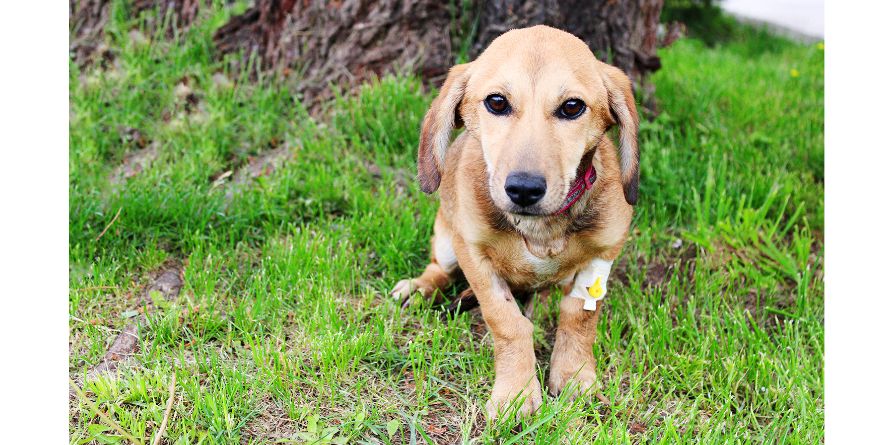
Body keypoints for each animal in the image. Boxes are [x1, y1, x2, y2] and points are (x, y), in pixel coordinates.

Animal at [390, 26, 640, 418]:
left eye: (572, 107)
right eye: (496, 102)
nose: (524, 189)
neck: (540, 229)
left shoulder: (604, 252)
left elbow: (579, 318)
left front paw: (575, 377)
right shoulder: (473, 252)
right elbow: (507, 321)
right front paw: (516, 392)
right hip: (445, 240)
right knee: (439, 270)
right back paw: (421, 288)